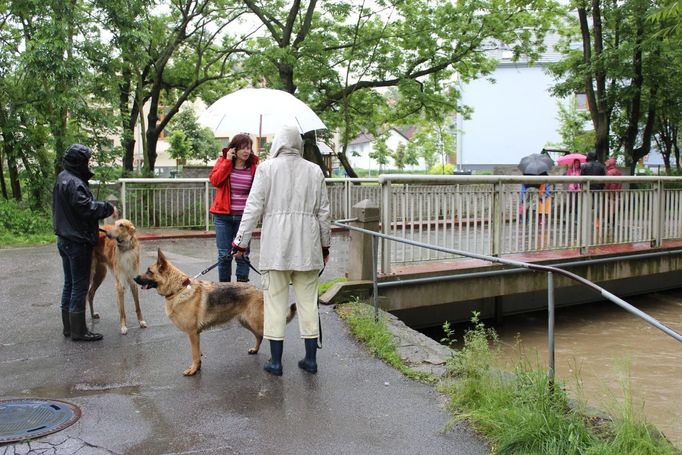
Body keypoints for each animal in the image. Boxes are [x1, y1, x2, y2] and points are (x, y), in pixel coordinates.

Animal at [133, 251, 294, 376]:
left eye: (149, 271)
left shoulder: (192, 333)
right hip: (246, 322)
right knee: (259, 337)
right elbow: (198, 354)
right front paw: (197, 368)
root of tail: (259, 291)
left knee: (271, 337)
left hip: (254, 323)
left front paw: (193, 370)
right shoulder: (196, 335)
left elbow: (194, 354)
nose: (134, 278)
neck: (179, 288)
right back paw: (255, 350)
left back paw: (273, 360)